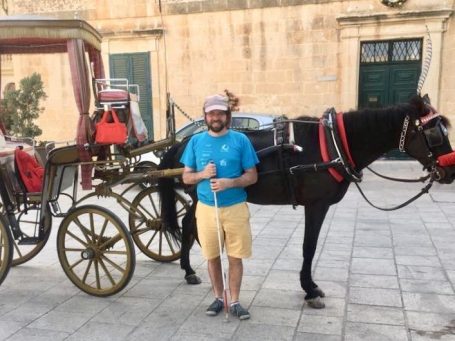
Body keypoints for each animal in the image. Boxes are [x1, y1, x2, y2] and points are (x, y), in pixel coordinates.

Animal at [158, 94, 455, 306]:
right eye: (434, 133)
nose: (450, 171)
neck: (334, 144)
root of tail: (182, 143)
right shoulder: (316, 206)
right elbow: (308, 247)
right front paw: (309, 289)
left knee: (189, 226)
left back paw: (190, 269)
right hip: (199, 195)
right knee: (189, 226)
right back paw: (190, 270)